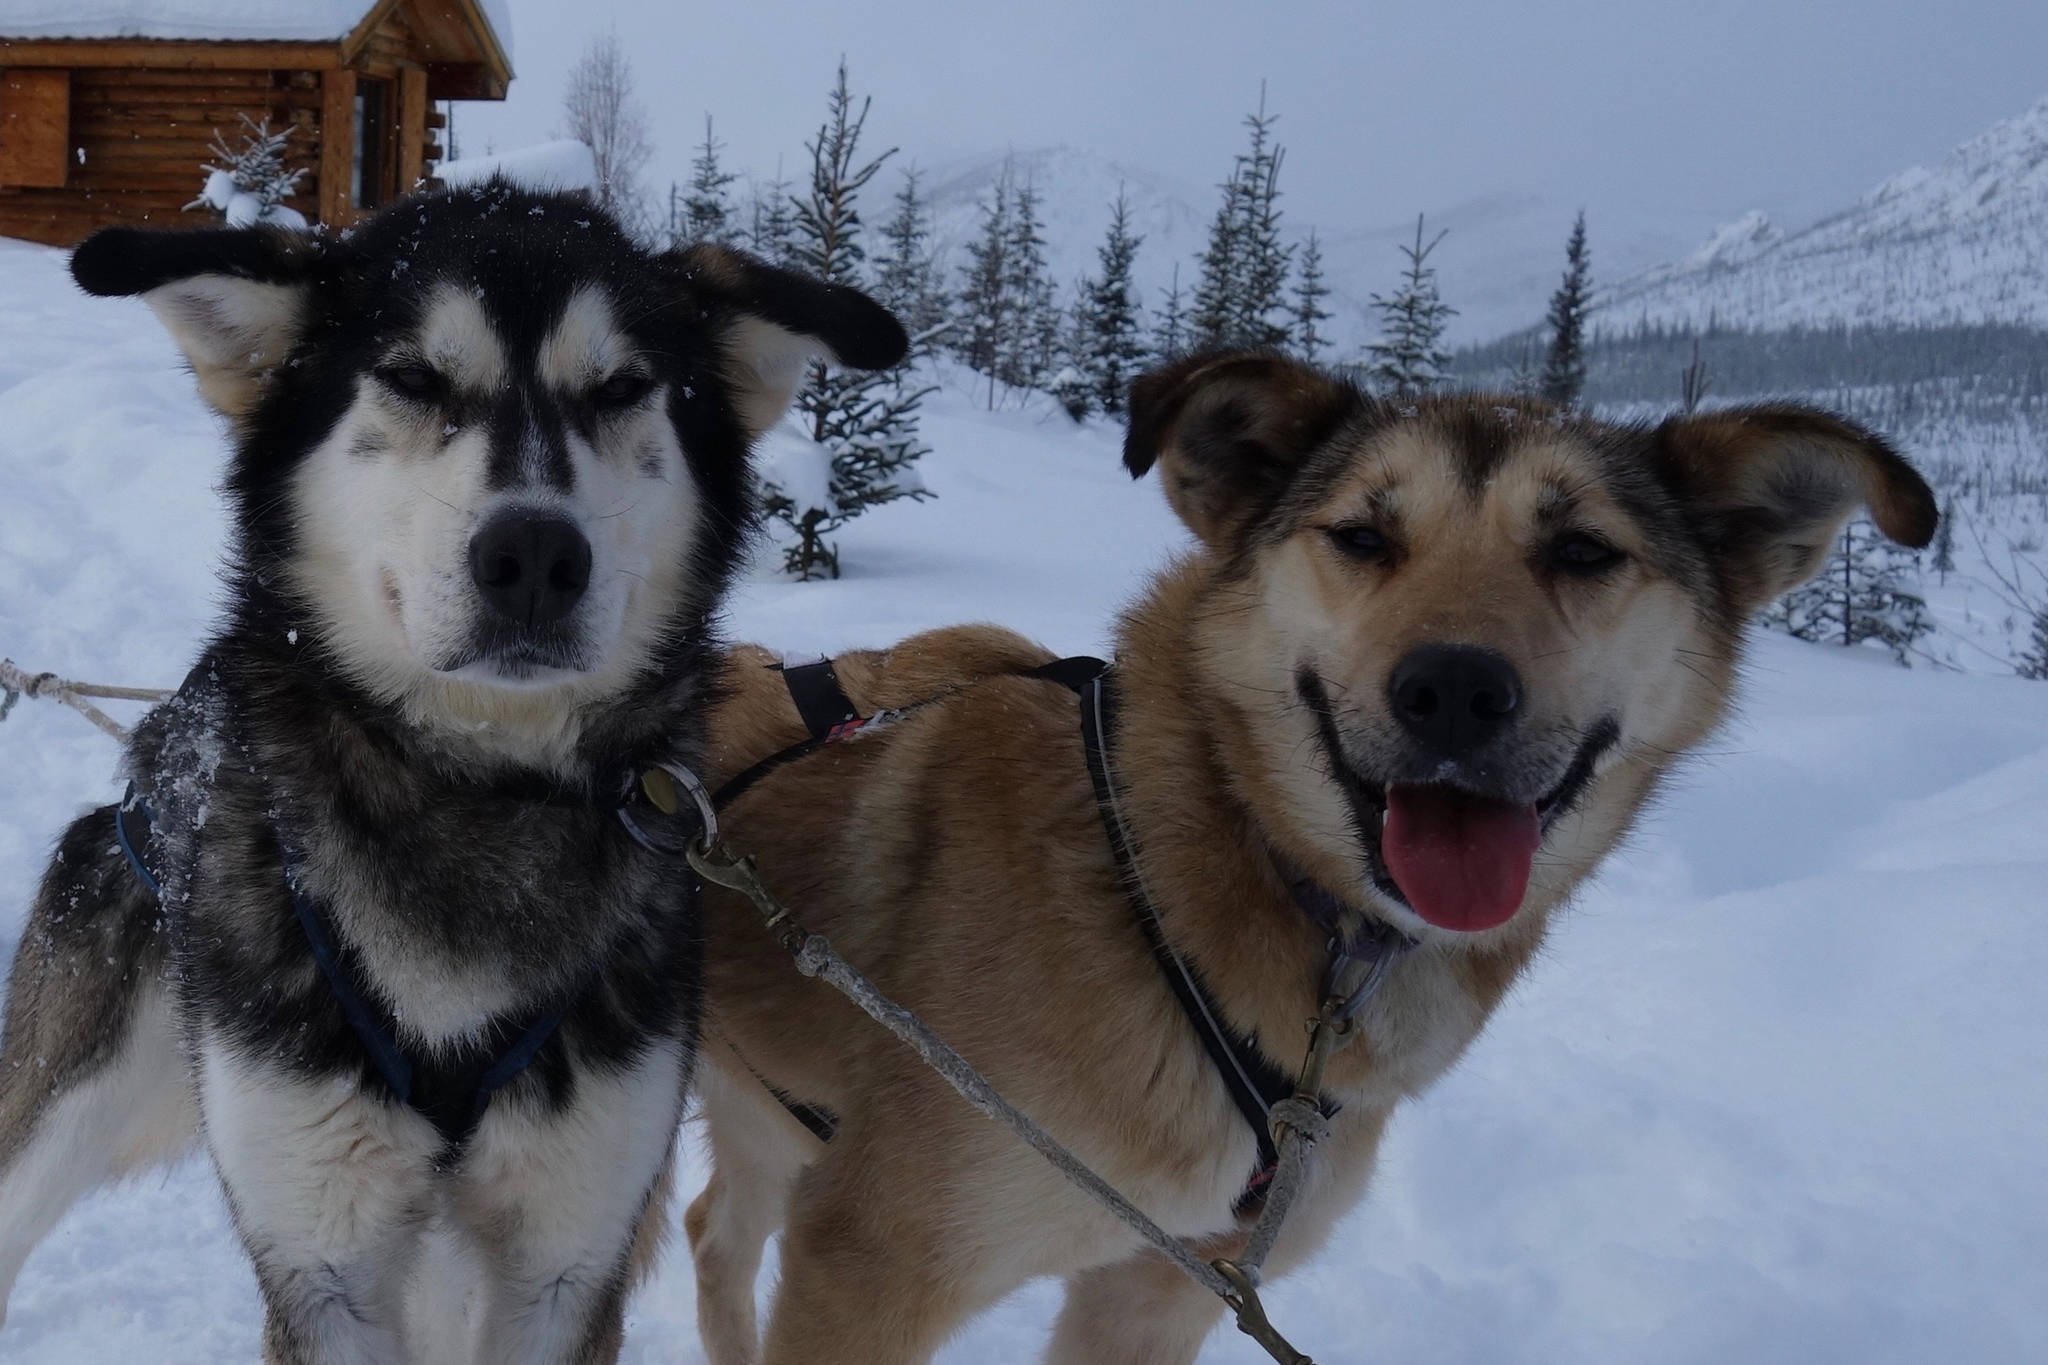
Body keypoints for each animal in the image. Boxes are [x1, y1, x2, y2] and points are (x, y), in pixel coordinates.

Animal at [684, 356, 1933, 1365]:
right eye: (1362, 536)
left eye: (1581, 550)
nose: (1452, 688)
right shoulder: (874, 1270)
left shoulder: (1154, 1294)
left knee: (712, 1229)